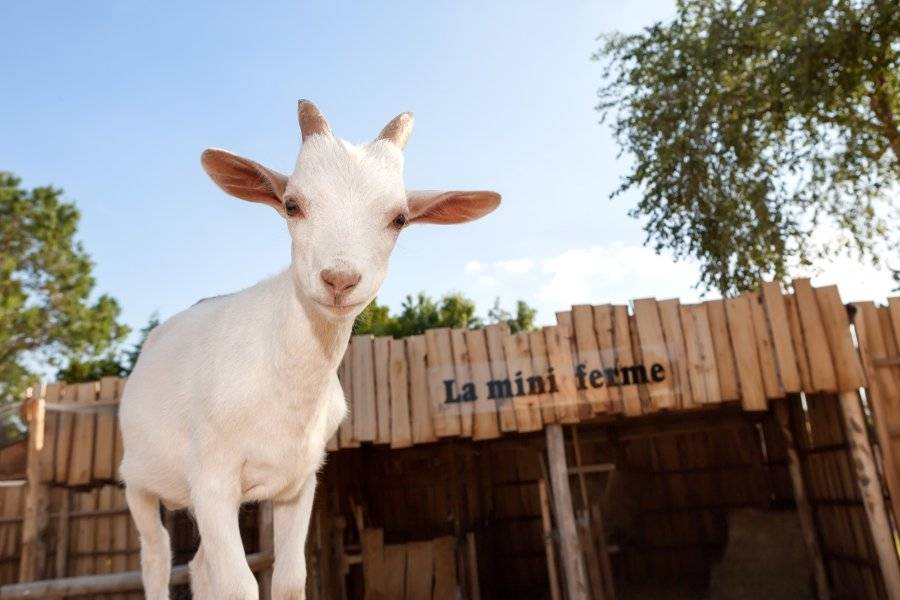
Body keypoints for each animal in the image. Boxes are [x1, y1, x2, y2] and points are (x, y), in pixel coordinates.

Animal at [118, 101, 500, 596]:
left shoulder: (298, 484)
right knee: (157, 556)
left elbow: (289, 580)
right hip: (139, 479)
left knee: (200, 565)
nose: (339, 279)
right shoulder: (212, 478)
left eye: (399, 218)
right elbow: (240, 585)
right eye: (292, 204)